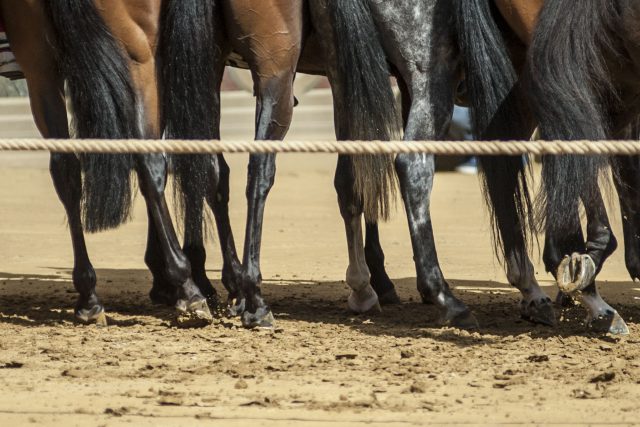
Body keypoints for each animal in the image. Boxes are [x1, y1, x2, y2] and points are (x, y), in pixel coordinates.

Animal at [0, 0, 215, 327]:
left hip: (45, 61)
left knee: (68, 171)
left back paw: (92, 295)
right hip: (137, 55)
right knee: (145, 163)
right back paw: (185, 285)